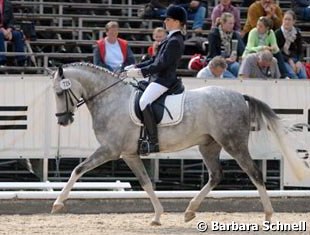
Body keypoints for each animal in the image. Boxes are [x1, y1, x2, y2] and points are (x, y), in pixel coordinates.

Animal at [49, 62, 306, 226]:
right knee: (216, 175)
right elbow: (145, 183)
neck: (111, 99)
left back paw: (268, 215)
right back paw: (190, 211)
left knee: (254, 173)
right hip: (209, 145)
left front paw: (58, 204)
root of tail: (239, 96)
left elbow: (77, 169)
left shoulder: (110, 150)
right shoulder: (129, 155)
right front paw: (157, 216)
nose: (62, 121)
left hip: (233, 143)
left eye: (59, 93)